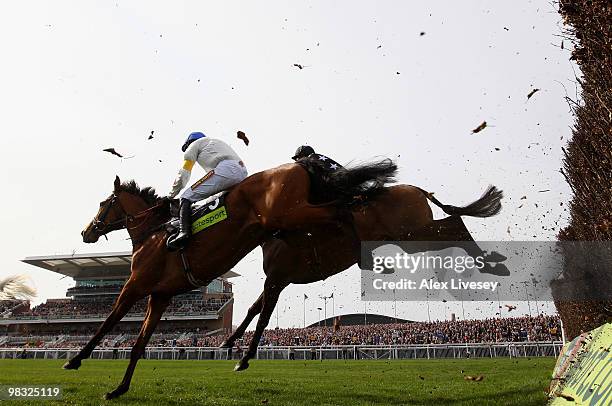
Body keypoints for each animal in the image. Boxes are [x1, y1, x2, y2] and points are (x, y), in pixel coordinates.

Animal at [63, 159, 396, 400]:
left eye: (104, 203)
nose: (86, 231)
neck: (153, 234)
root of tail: (297, 165)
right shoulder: (160, 296)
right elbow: (139, 342)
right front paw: (119, 388)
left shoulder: (135, 285)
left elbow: (107, 321)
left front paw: (74, 360)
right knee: (342, 206)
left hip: (292, 213)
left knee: (342, 209)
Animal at [220, 184, 502, 372]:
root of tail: (415, 189)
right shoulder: (277, 281)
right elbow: (253, 309)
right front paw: (228, 341)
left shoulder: (278, 279)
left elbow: (263, 317)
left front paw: (244, 358)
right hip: (411, 236)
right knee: (454, 222)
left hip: (411, 235)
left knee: (455, 221)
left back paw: (487, 262)